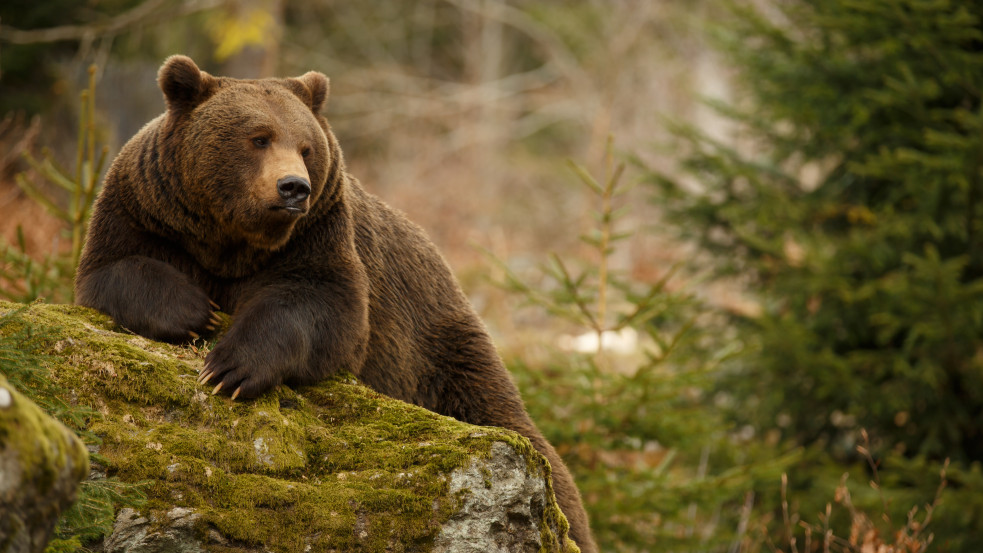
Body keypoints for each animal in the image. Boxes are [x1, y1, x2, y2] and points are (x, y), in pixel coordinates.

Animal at [73, 55, 596, 552]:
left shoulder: (318, 236)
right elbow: (114, 268)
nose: (293, 187)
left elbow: (322, 308)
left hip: (439, 350)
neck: (232, 241)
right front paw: (194, 312)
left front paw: (230, 368)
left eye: (306, 147)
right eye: (258, 138)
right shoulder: (147, 210)